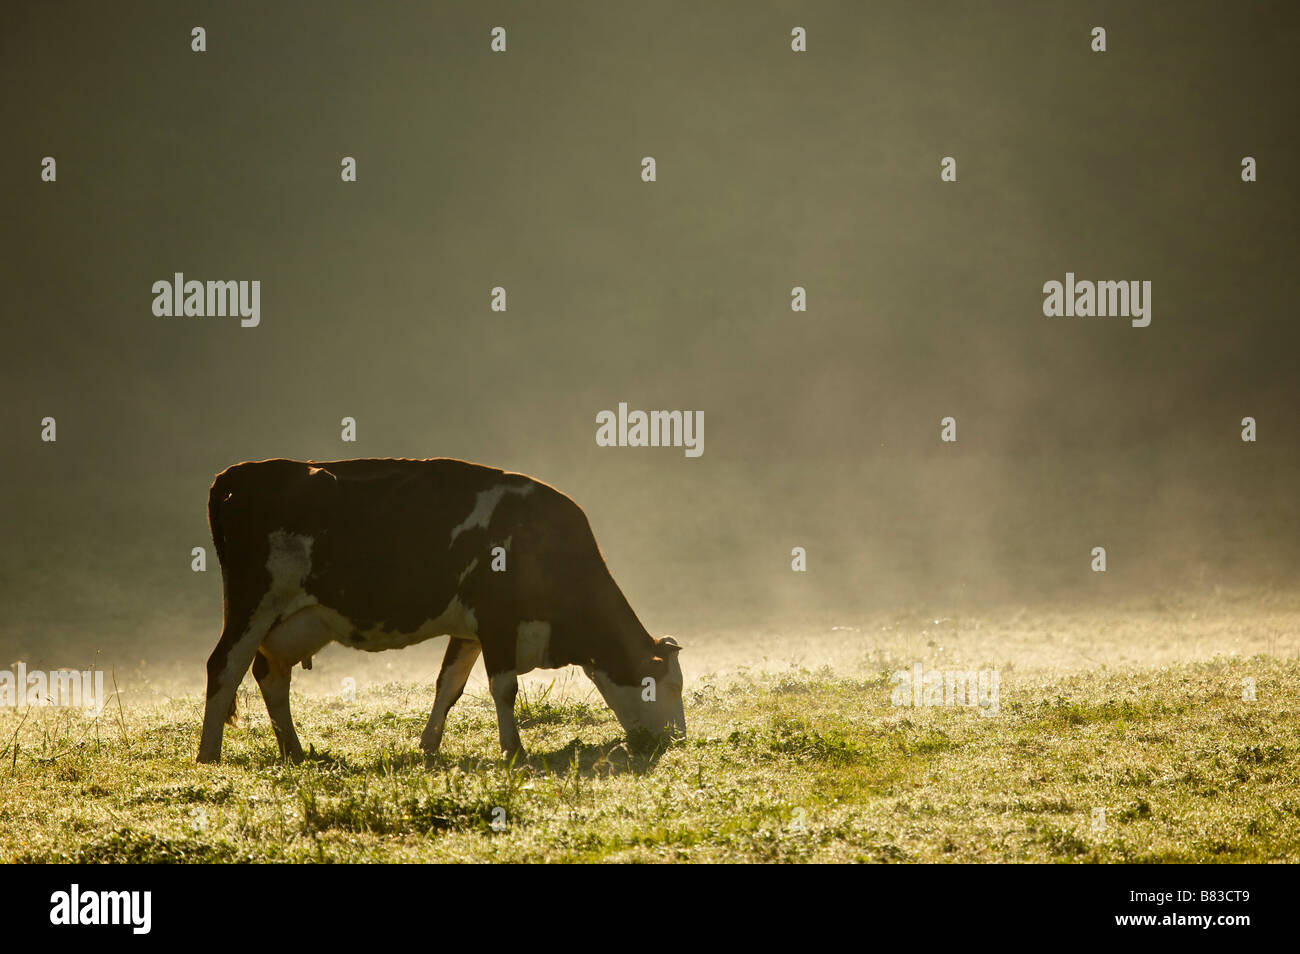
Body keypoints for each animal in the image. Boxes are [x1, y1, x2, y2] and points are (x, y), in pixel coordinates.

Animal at [197, 460, 686, 764]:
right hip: (251, 604)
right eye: (664, 685)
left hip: (291, 621)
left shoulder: (471, 631)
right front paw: (514, 750)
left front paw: (429, 746)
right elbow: (504, 689)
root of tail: (234, 475)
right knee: (224, 667)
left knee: (270, 675)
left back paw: (294, 752)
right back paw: (209, 755)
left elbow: (449, 687)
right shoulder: (498, 621)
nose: (678, 740)